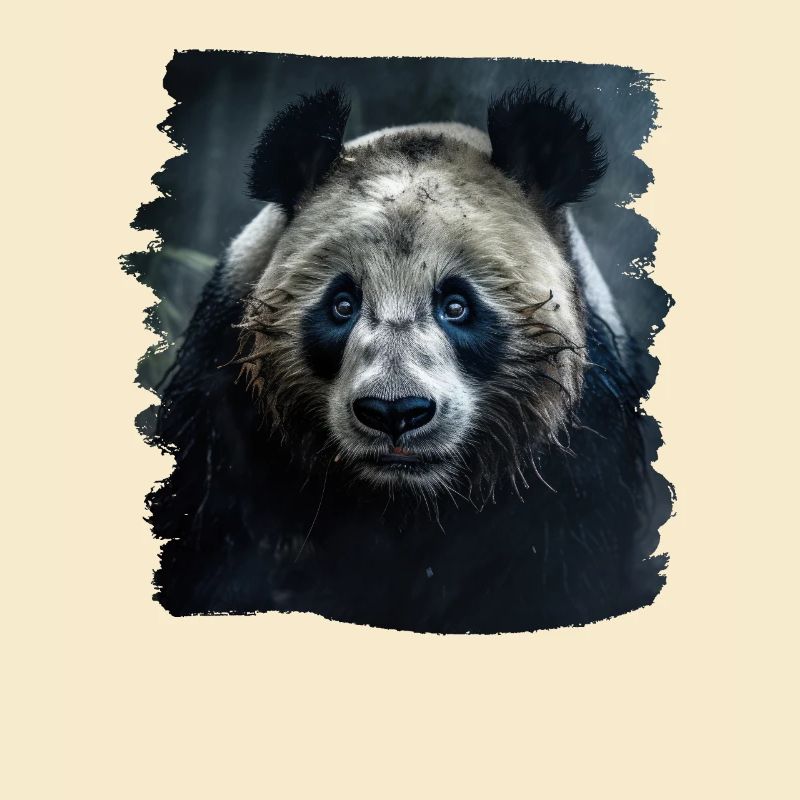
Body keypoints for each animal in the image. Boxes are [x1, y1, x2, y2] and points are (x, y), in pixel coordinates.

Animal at [149, 85, 670, 633]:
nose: (394, 413)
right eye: (343, 304)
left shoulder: (581, 451)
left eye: (456, 305)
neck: (403, 499)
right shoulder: (221, 410)